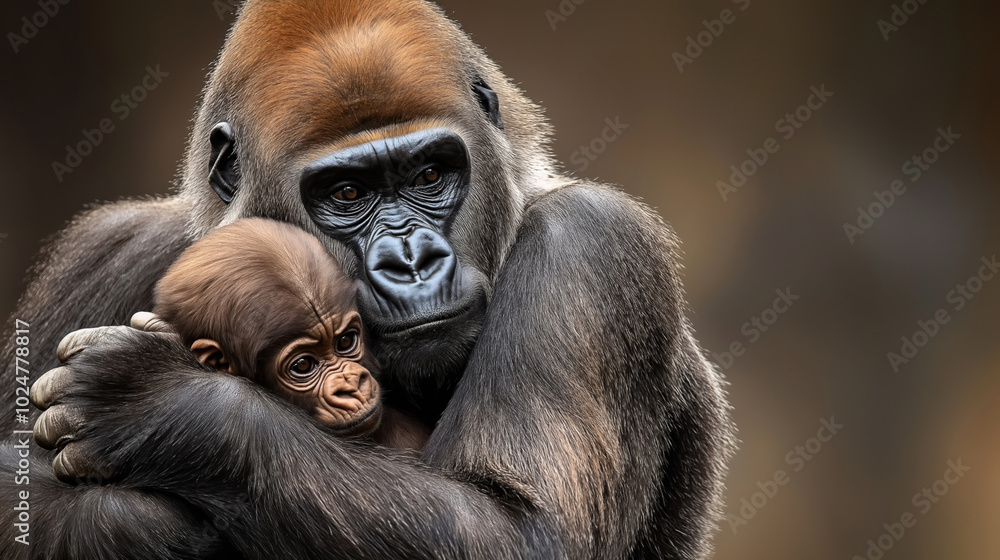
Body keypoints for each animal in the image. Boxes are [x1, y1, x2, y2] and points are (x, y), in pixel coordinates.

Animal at [12, 1, 735, 559]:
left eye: (429, 174)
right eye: (348, 192)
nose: (411, 261)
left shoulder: (590, 241)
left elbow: (524, 531)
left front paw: (165, 407)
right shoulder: (114, 247)